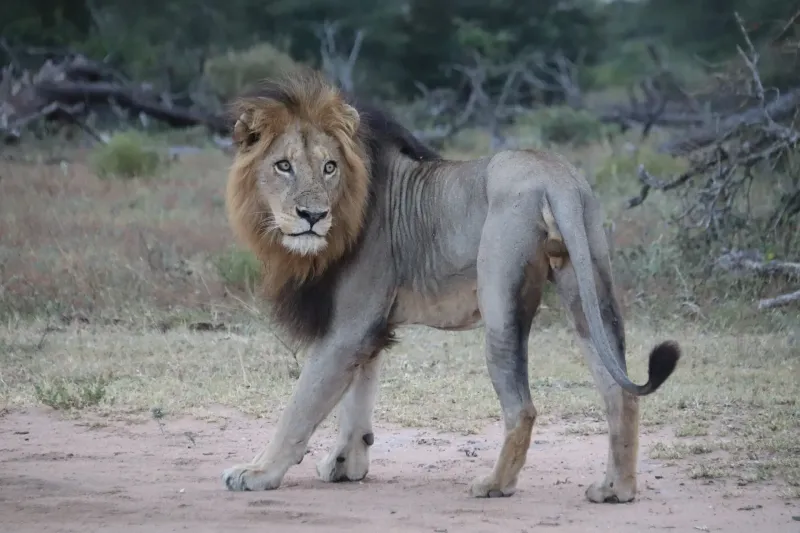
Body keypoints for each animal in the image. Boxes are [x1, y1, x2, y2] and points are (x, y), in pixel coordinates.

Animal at [221, 69, 681, 503]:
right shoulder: (368, 328)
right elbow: (358, 396)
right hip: (588, 284)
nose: (313, 216)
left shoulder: (348, 326)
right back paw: (616, 488)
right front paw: (346, 463)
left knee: (523, 408)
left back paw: (496, 484)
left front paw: (257, 472)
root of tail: (556, 177)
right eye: (284, 166)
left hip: (500, 299)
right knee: (619, 391)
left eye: (328, 167)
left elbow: (302, 405)